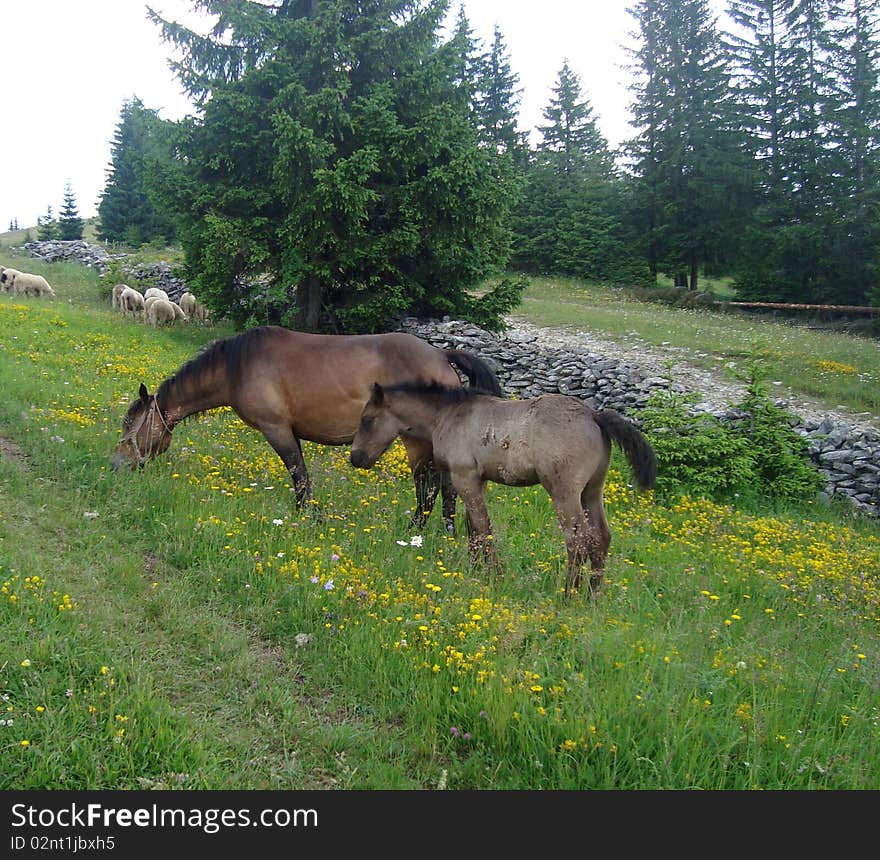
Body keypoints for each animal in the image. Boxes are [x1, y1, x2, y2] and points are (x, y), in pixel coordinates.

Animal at [111, 326, 502, 528]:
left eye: (130, 426)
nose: (116, 465)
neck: (237, 365)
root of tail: (441, 355)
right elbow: (301, 476)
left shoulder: (277, 429)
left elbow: (299, 475)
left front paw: (308, 517)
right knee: (445, 488)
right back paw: (446, 532)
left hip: (415, 443)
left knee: (429, 487)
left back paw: (416, 532)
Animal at [348, 382, 656, 596]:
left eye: (367, 419)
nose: (356, 458)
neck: (448, 414)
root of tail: (594, 416)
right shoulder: (477, 481)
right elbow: (473, 529)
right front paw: (474, 570)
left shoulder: (465, 478)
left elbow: (484, 529)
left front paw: (495, 575)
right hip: (591, 491)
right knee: (601, 538)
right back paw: (593, 595)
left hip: (564, 493)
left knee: (578, 541)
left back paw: (568, 595)